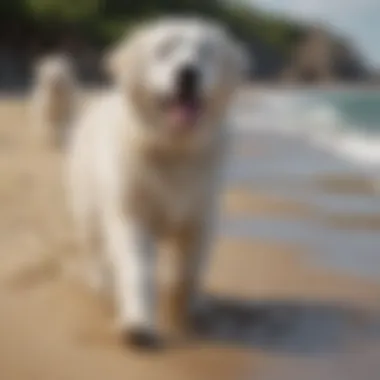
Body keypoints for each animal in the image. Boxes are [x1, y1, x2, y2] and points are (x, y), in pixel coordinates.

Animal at [67, 17, 248, 350]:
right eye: (164, 50)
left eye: (206, 53)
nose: (188, 73)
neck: (173, 149)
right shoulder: (131, 217)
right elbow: (137, 271)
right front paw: (138, 323)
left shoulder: (200, 218)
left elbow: (190, 271)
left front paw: (191, 310)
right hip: (88, 210)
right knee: (95, 249)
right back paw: (102, 283)